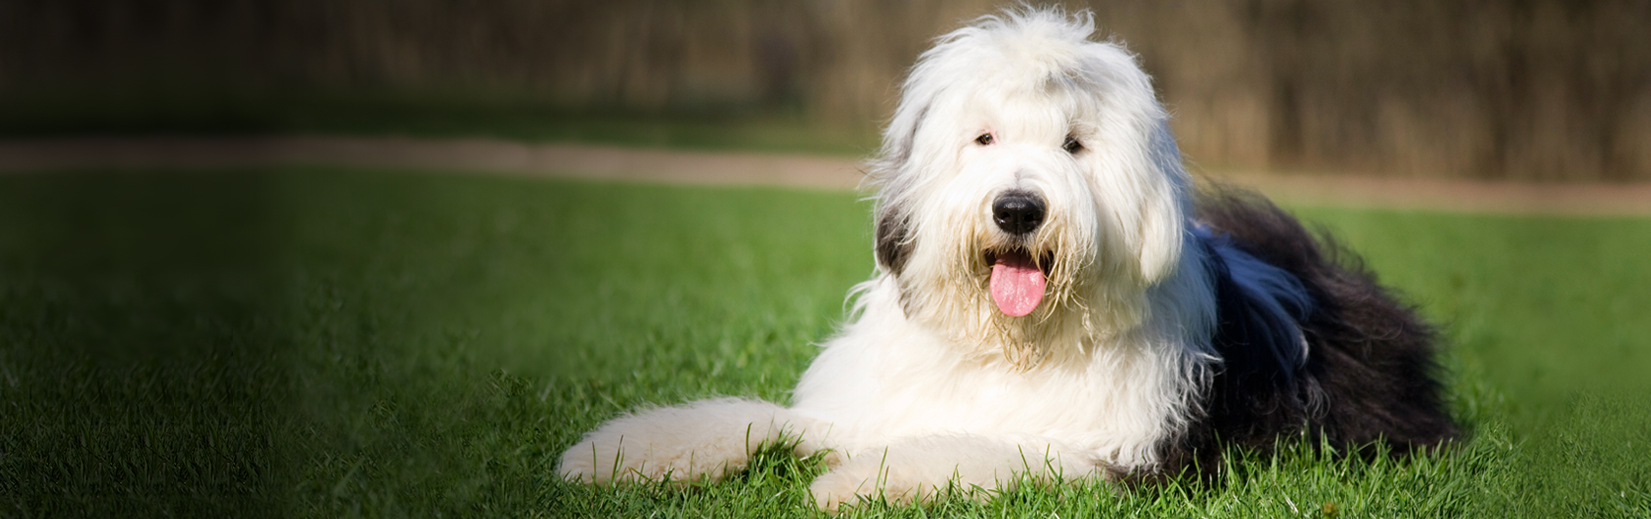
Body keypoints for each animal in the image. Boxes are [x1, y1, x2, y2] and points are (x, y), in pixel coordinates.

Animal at [558, 7, 1459, 512]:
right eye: (983, 138)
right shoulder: (869, 402)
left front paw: (855, 482)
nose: (1019, 209)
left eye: (1074, 144)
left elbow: (985, 449)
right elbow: (756, 419)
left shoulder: (1124, 454)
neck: (1011, 343)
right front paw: (617, 455)